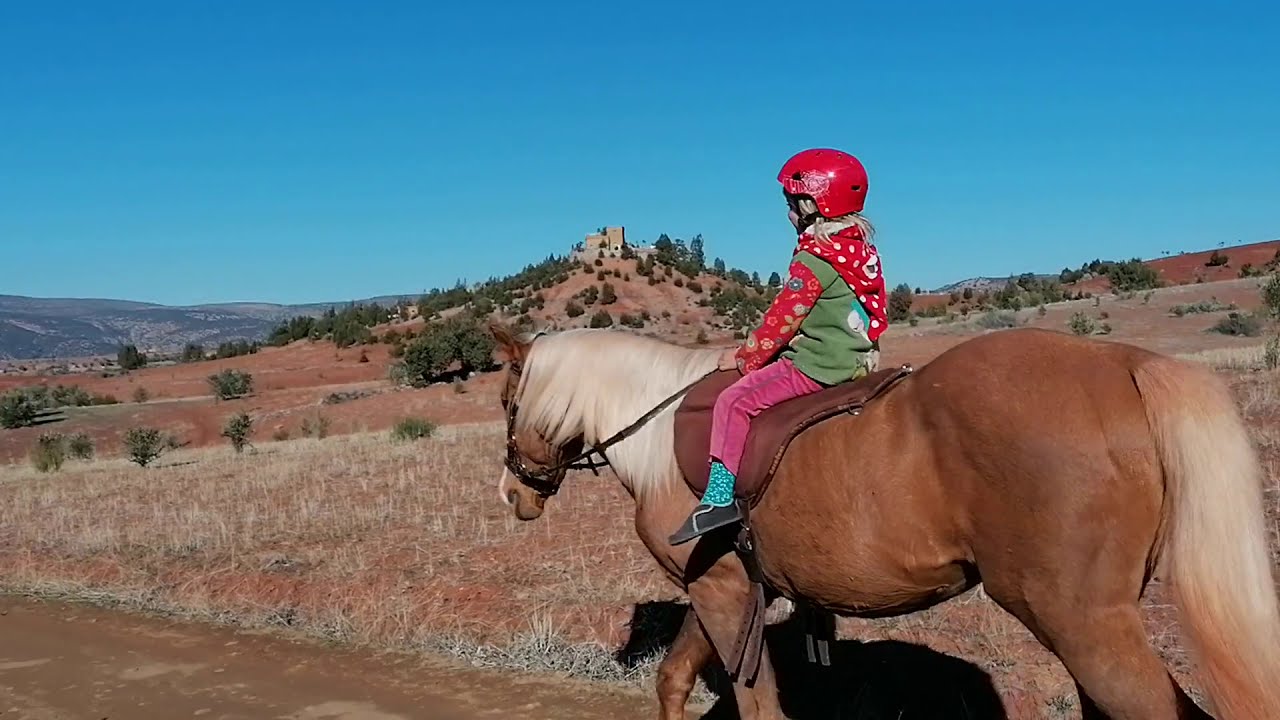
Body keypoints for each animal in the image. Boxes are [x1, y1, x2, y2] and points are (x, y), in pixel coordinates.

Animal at [488, 321, 1280, 720]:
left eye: (504, 399)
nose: (511, 493)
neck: (658, 429)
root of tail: (1121, 363)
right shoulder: (730, 590)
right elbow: (675, 680)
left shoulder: (720, 591)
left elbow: (756, 703)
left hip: (1083, 623)